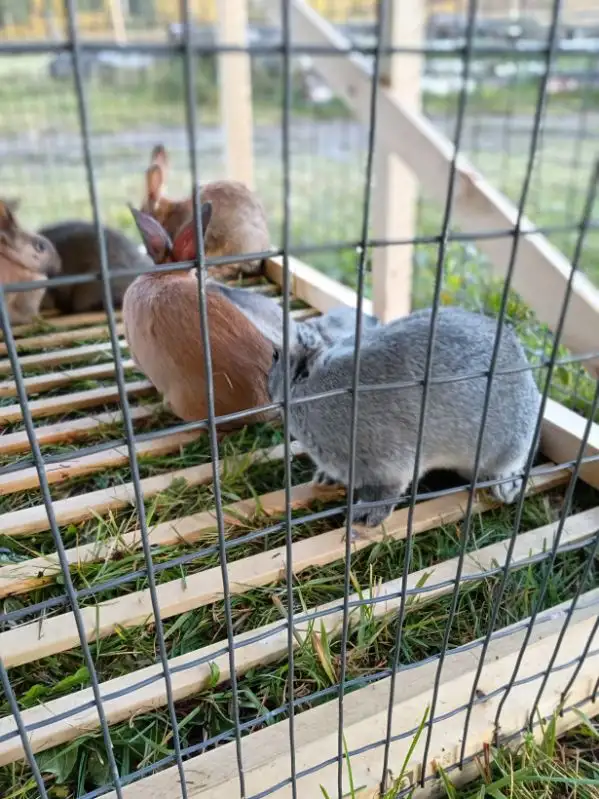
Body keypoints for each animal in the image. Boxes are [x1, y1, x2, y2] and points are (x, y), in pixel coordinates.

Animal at [222, 300, 542, 527]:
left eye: (275, 356)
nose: (266, 387)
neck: (314, 385)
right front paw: (325, 479)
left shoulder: (387, 464)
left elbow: (386, 492)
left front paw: (365, 517)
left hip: (510, 444)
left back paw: (505, 487)